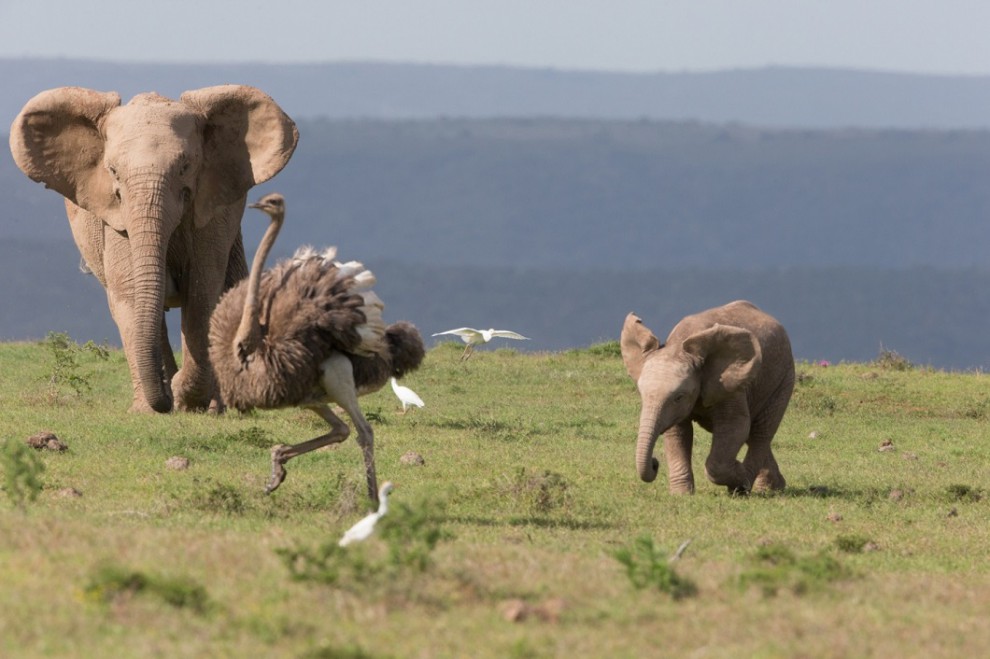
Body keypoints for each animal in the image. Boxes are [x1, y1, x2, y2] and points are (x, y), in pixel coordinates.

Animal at [10, 84, 298, 410]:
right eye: (113, 171)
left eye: (185, 166)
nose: (166, 396)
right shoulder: (116, 220)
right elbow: (131, 295)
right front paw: (151, 408)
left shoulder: (211, 213)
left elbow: (201, 295)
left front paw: (189, 399)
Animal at [624, 302, 796, 492]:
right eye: (641, 393)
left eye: (679, 397)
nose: (655, 463)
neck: (678, 346)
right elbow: (678, 432)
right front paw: (681, 494)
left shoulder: (729, 385)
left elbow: (735, 426)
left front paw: (739, 477)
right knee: (752, 435)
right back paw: (773, 487)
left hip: (783, 379)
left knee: (760, 432)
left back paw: (748, 484)